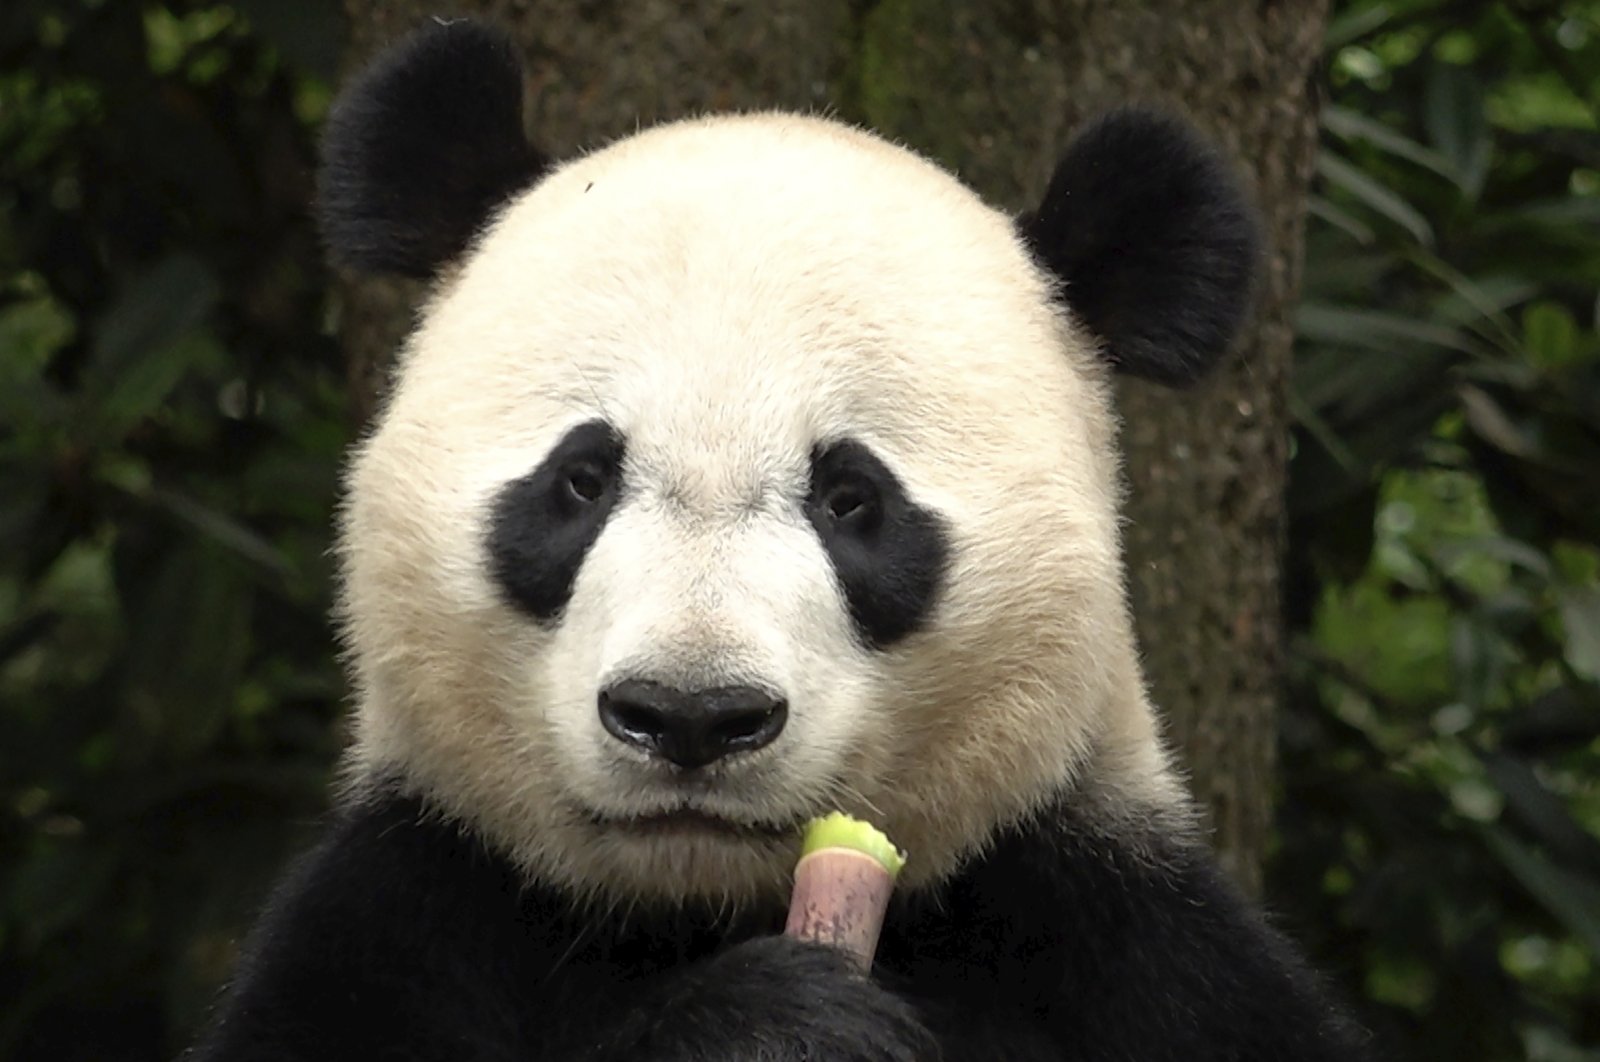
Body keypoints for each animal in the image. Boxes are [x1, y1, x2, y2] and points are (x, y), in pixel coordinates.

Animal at [193, 16, 1376, 1062]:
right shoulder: (410, 906)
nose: (690, 716)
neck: (697, 910)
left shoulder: (1123, 939)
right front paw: (776, 1026)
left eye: (851, 499)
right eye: (581, 479)